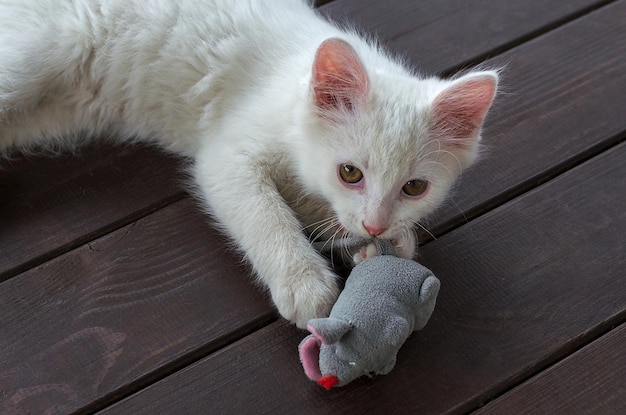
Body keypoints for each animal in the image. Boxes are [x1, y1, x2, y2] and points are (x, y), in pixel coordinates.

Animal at [1, 0, 498, 332]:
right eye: (350, 173)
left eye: (415, 188)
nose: (376, 225)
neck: (294, 87)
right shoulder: (226, 156)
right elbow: (266, 214)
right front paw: (304, 284)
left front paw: (381, 244)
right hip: (37, 55)